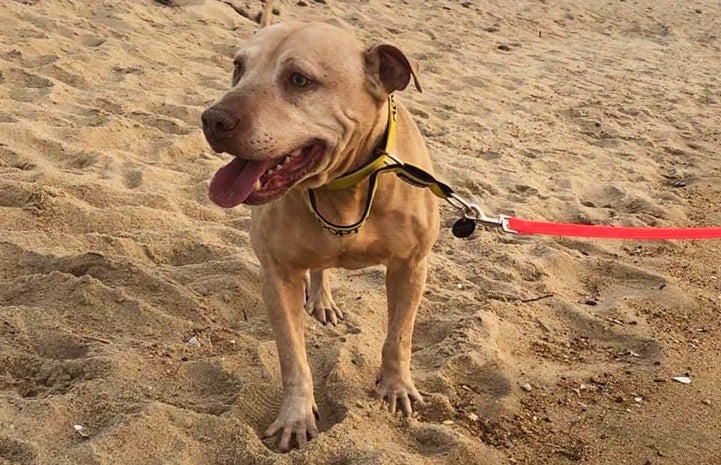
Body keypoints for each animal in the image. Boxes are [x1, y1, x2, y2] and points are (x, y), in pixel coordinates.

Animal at [200, 18, 442, 450]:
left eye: (299, 80)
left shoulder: (411, 266)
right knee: (320, 268)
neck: (341, 187)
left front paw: (396, 387)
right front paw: (296, 416)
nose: (213, 120)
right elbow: (292, 356)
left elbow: (399, 336)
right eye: (238, 67)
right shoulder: (278, 276)